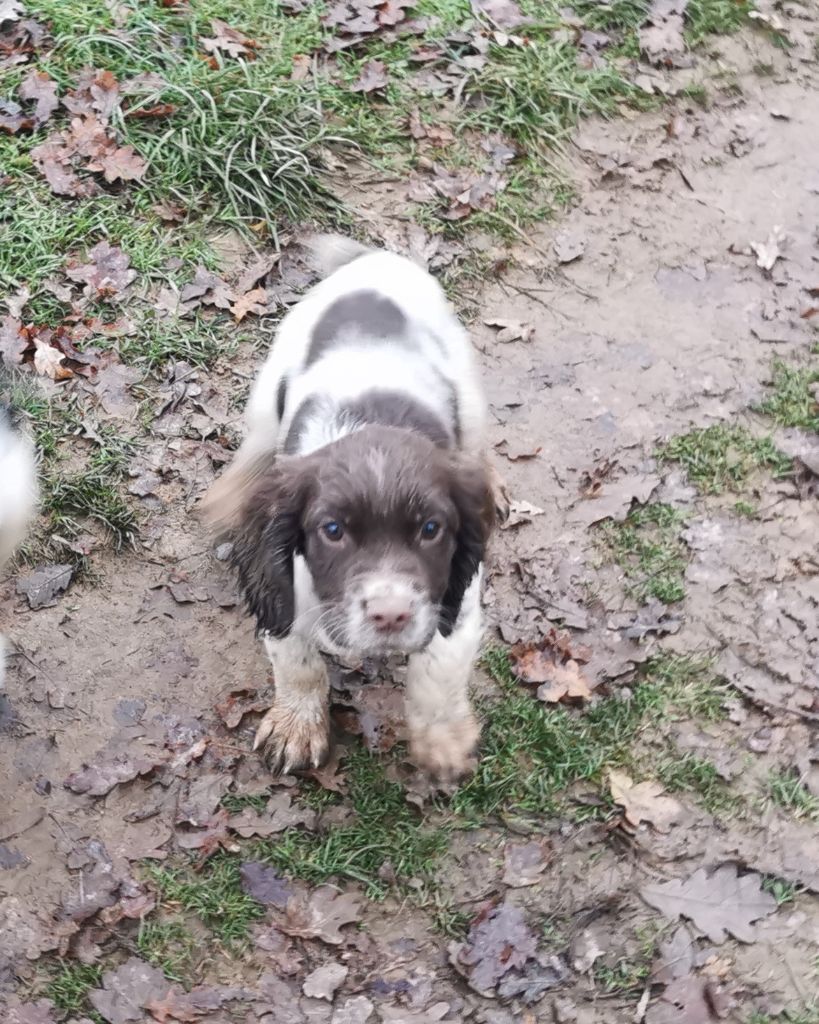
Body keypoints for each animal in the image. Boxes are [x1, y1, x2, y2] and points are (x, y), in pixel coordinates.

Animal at [207, 235, 495, 778]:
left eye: (431, 529)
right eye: (333, 531)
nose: (391, 616)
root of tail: (378, 259)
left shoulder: (458, 599)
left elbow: (440, 668)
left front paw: (443, 739)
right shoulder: (286, 589)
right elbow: (298, 662)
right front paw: (297, 729)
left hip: (469, 394)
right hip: (269, 386)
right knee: (256, 443)